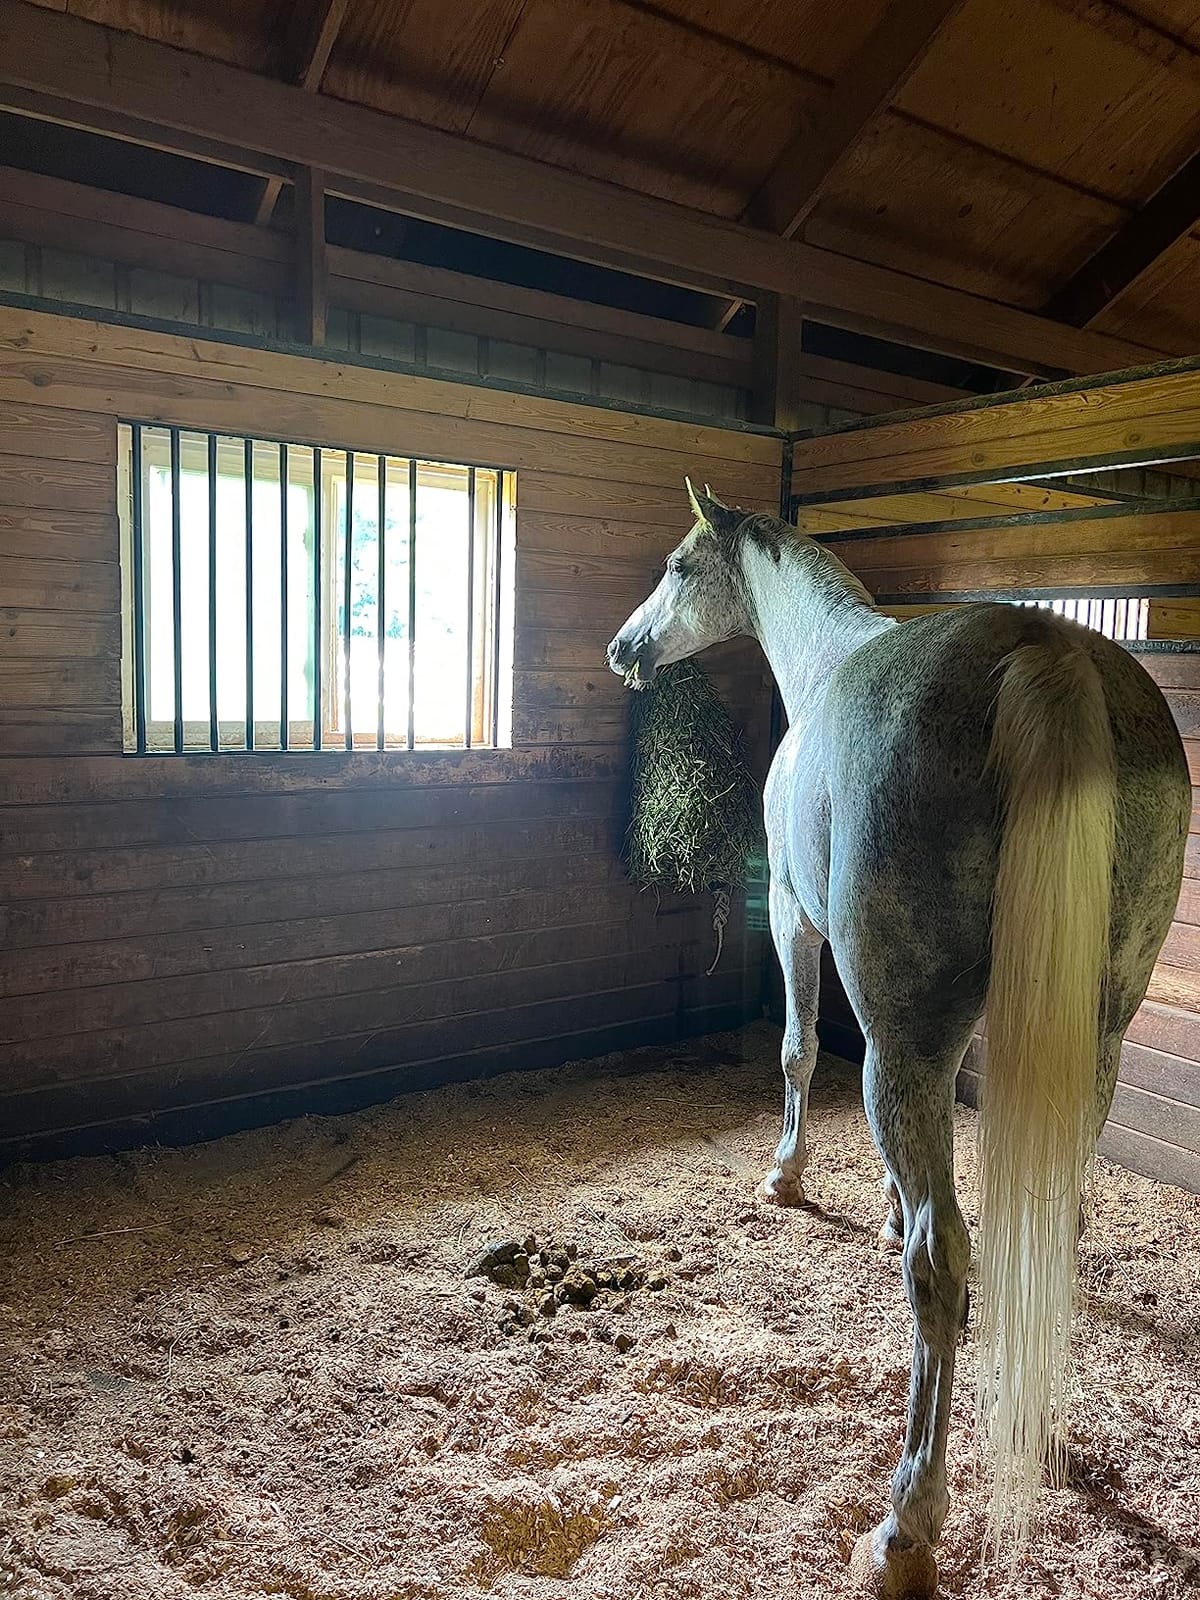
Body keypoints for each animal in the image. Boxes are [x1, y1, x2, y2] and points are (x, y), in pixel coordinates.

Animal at [607, 482, 1188, 1597]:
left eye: (678, 566)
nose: (627, 648)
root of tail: (1043, 652)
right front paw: (877, 1207)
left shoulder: (796, 924)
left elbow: (796, 1051)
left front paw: (787, 1176)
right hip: (1090, 1043)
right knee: (1049, 1227)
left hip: (905, 1037)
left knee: (944, 1256)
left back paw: (905, 1525)